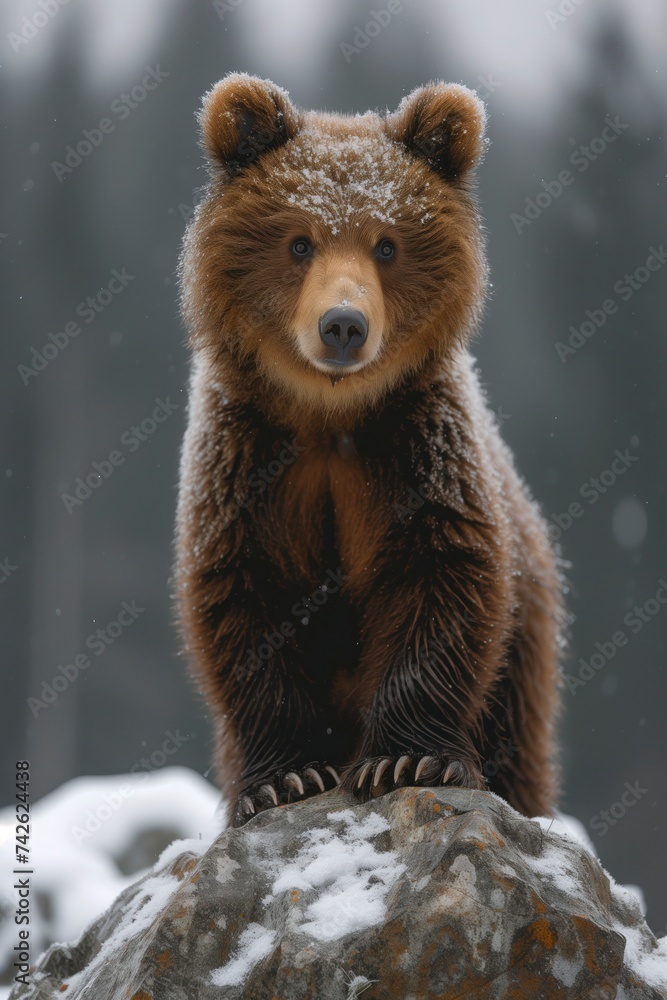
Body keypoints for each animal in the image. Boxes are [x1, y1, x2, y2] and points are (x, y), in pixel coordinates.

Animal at [175, 73, 565, 828]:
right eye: (299, 243)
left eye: (386, 245)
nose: (343, 325)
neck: (331, 420)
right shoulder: (251, 465)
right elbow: (245, 602)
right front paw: (285, 779)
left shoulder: (417, 452)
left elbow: (440, 581)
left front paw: (404, 759)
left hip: (525, 652)